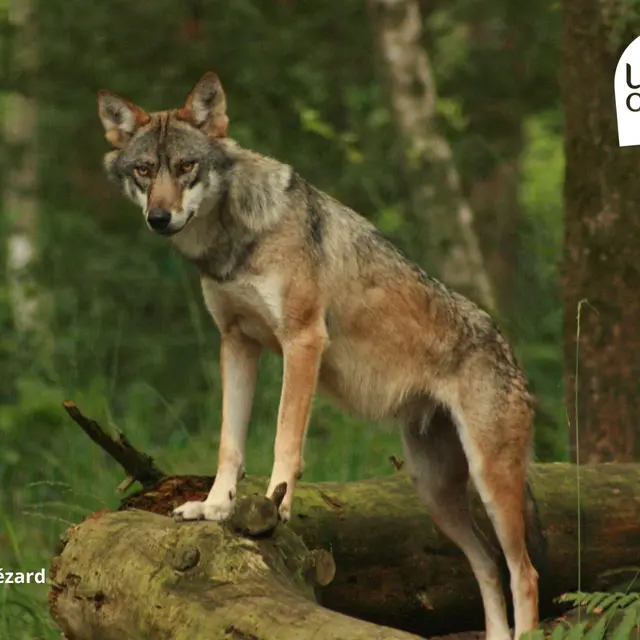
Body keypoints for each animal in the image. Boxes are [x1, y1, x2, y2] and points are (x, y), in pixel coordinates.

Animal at [97, 72, 542, 640]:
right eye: (144, 170)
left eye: (186, 166)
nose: (159, 217)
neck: (234, 238)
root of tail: (507, 349)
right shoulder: (236, 344)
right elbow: (229, 444)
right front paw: (215, 508)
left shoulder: (302, 341)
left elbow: (285, 438)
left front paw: (277, 507)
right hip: (436, 494)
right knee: (486, 564)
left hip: (489, 483)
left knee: (524, 573)